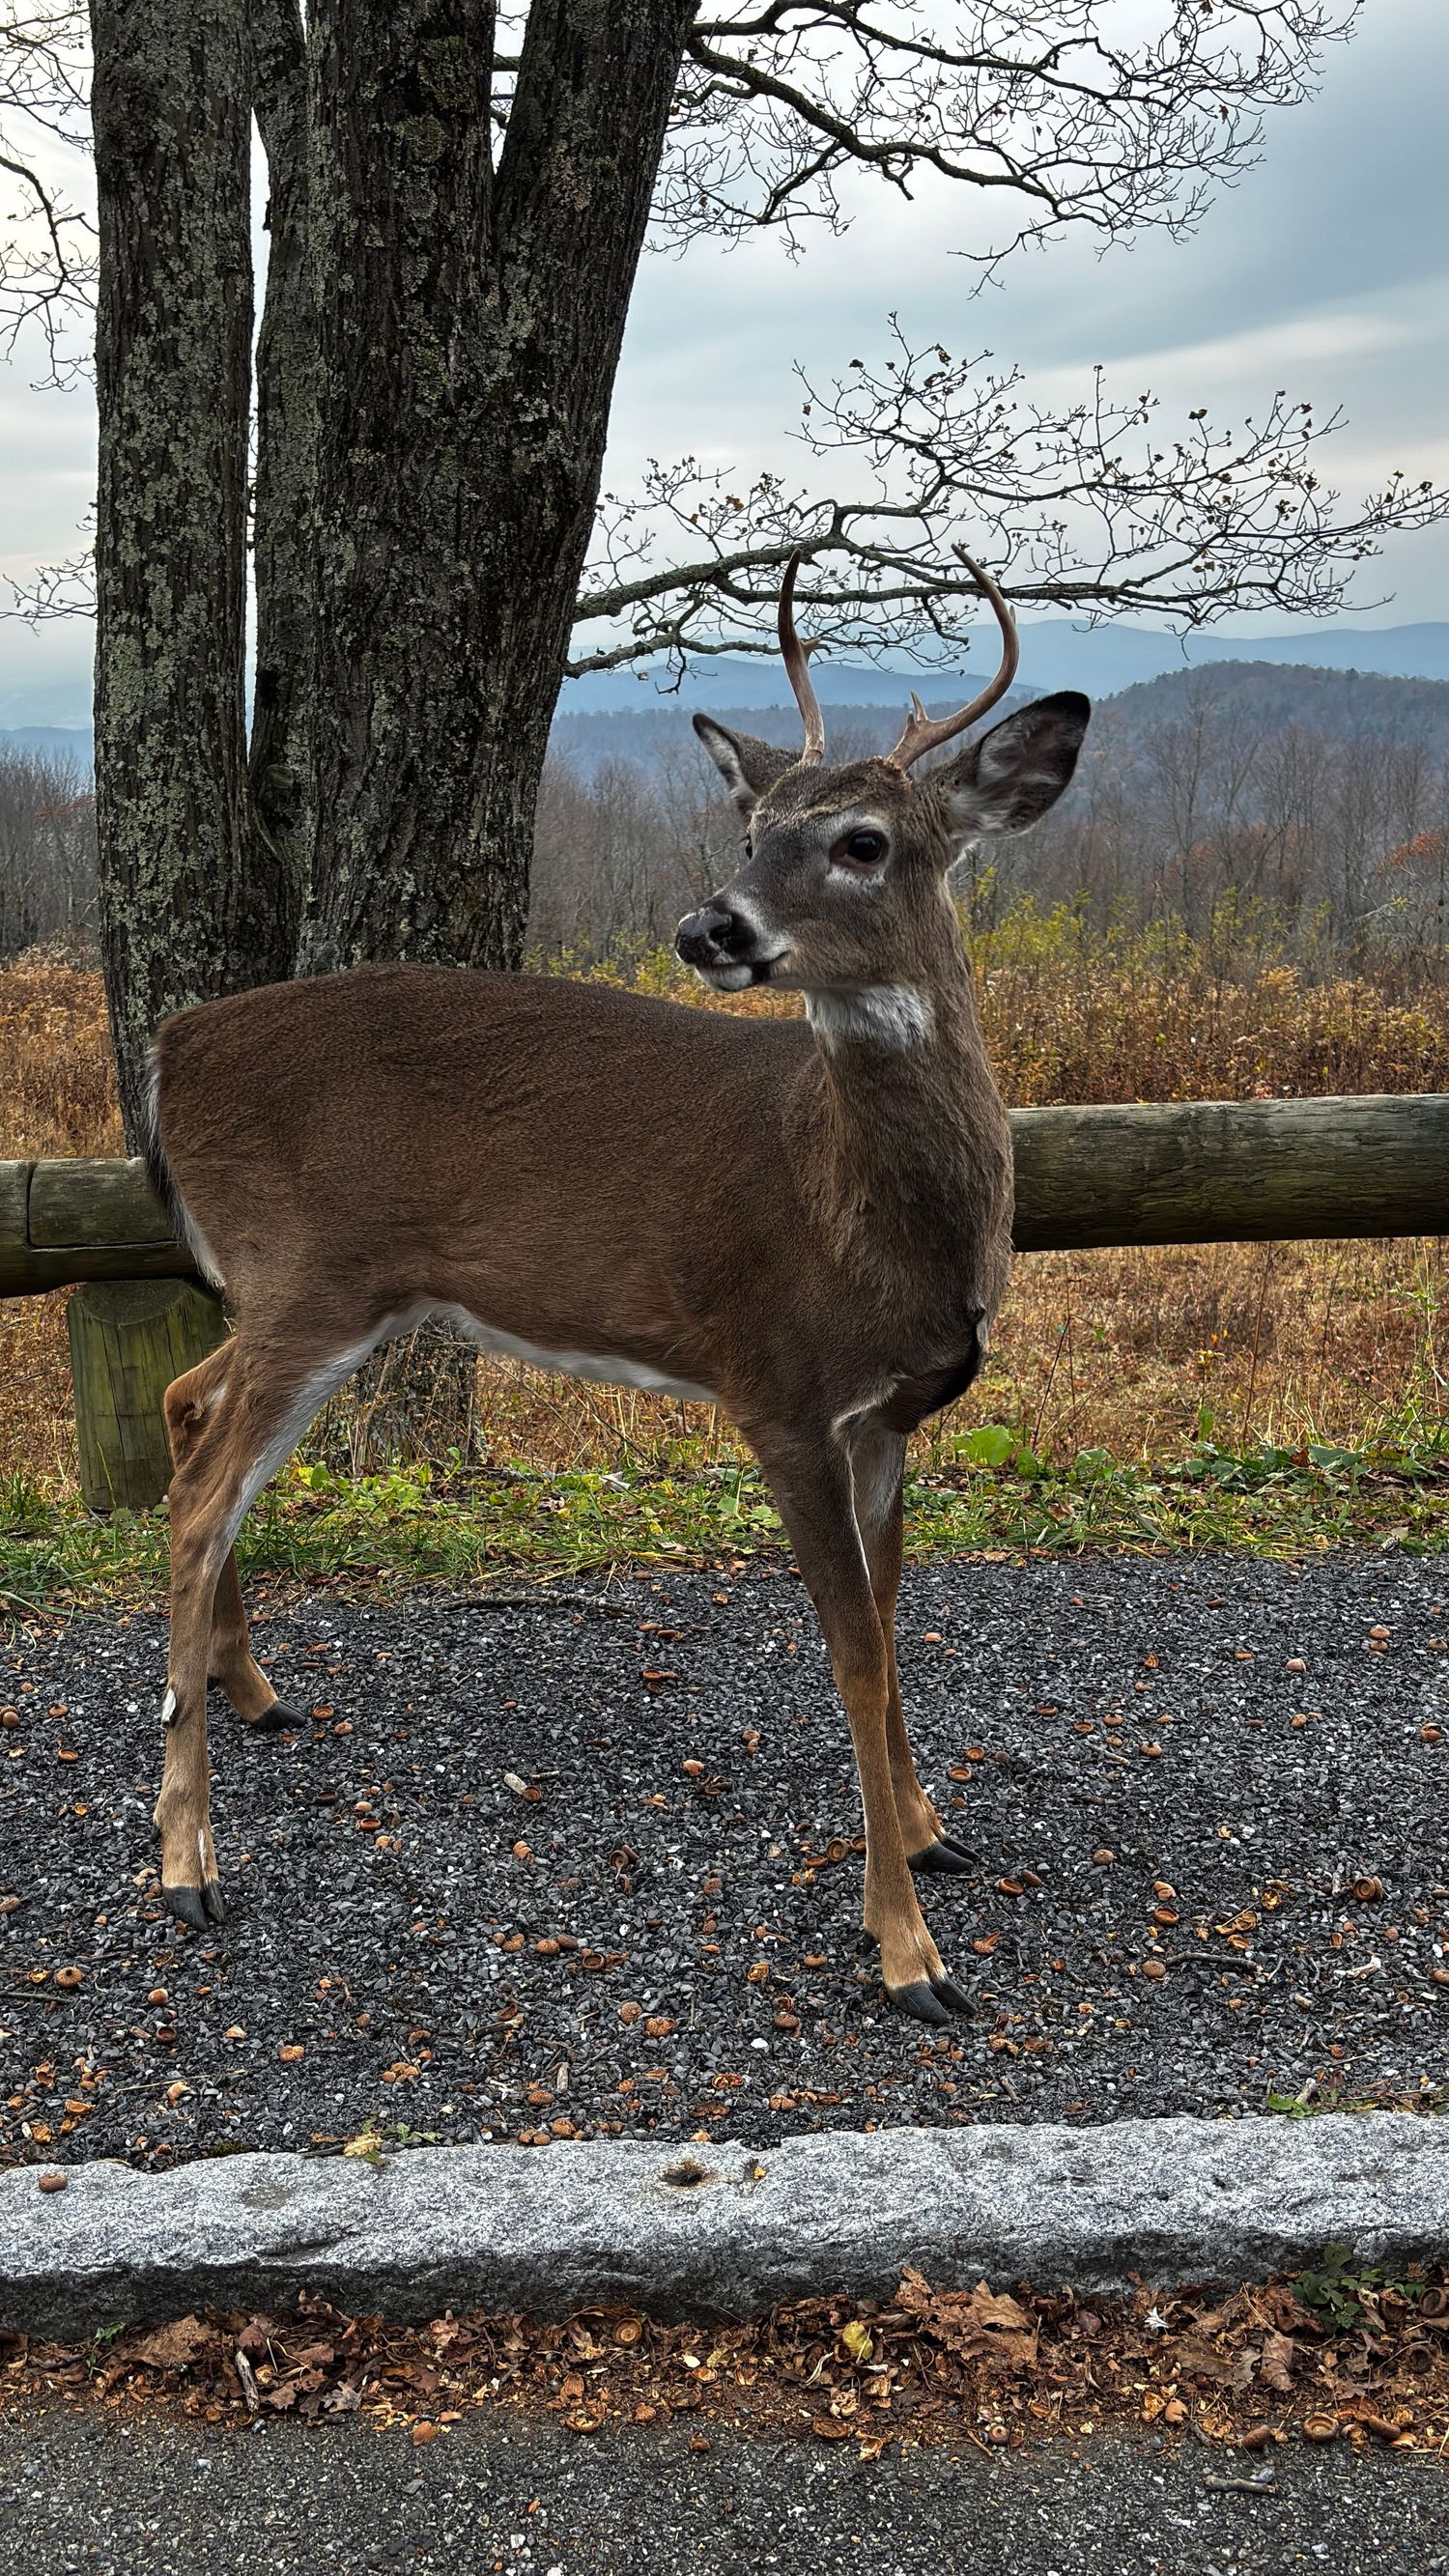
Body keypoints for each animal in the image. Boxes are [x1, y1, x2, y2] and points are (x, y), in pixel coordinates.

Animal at [143, 550, 1088, 2023]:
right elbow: (851, 1654)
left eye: (864, 839)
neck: (865, 1213)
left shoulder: (888, 1415)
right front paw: (909, 1952)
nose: (710, 923)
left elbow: (891, 1626)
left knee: (189, 1407)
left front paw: (935, 1831)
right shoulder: (775, 1385)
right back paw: (188, 1864)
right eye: (751, 822)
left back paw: (255, 1691)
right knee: (193, 1504)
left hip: (296, 1295)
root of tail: (167, 1046)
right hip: (307, 1280)